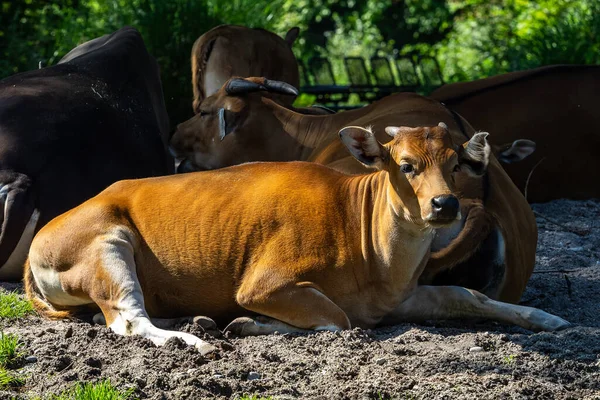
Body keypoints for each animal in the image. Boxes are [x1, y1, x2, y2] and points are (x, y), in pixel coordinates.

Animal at [23, 123, 568, 354]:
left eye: (457, 163)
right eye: (406, 165)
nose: (445, 204)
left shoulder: (398, 300)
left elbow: (468, 294)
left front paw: (546, 319)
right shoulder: (265, 284)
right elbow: (337, 320)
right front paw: (249, 324)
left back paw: (191, 320)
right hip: (108, 246)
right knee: (128, 321)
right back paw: (190, 339)